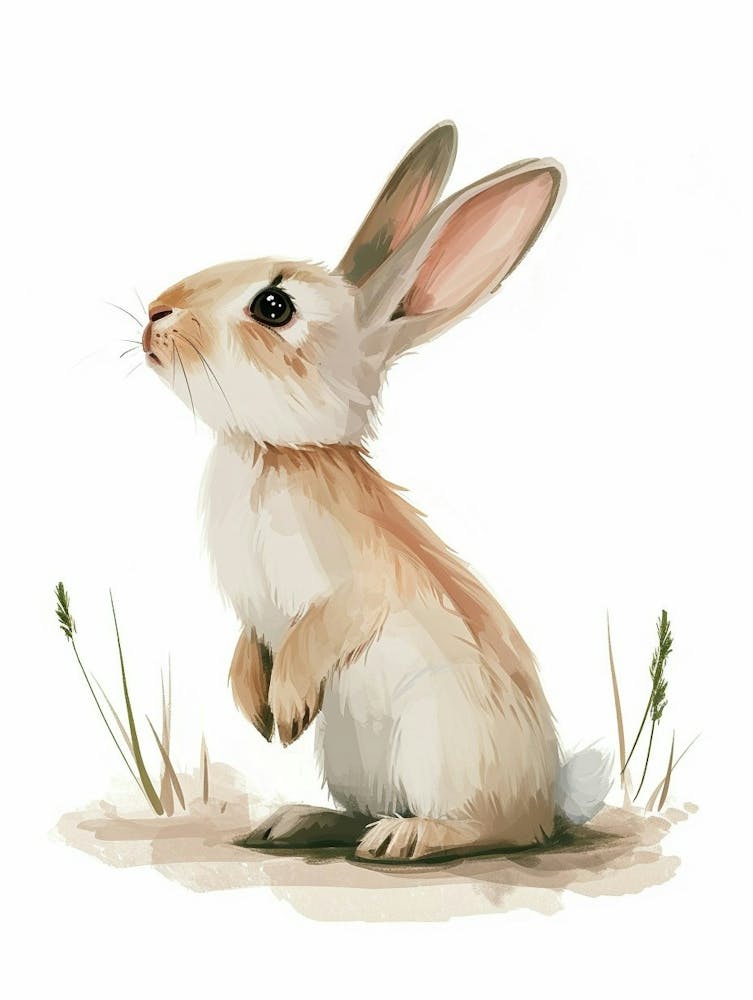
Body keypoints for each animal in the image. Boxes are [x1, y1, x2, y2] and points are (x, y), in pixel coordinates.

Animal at [141, 121, 611, 862]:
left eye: (273, 306)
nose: (155, 313)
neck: (275, 454)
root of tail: (547, 803)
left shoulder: (352, 591)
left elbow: (322, 630)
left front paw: (287, 708)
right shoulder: (250, 615)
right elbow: (250, 647)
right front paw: (255, 708)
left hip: (438, 748)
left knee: (486, 829)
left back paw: (407, 837)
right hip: (353, 762)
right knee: (362, 811)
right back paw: (296, 822)